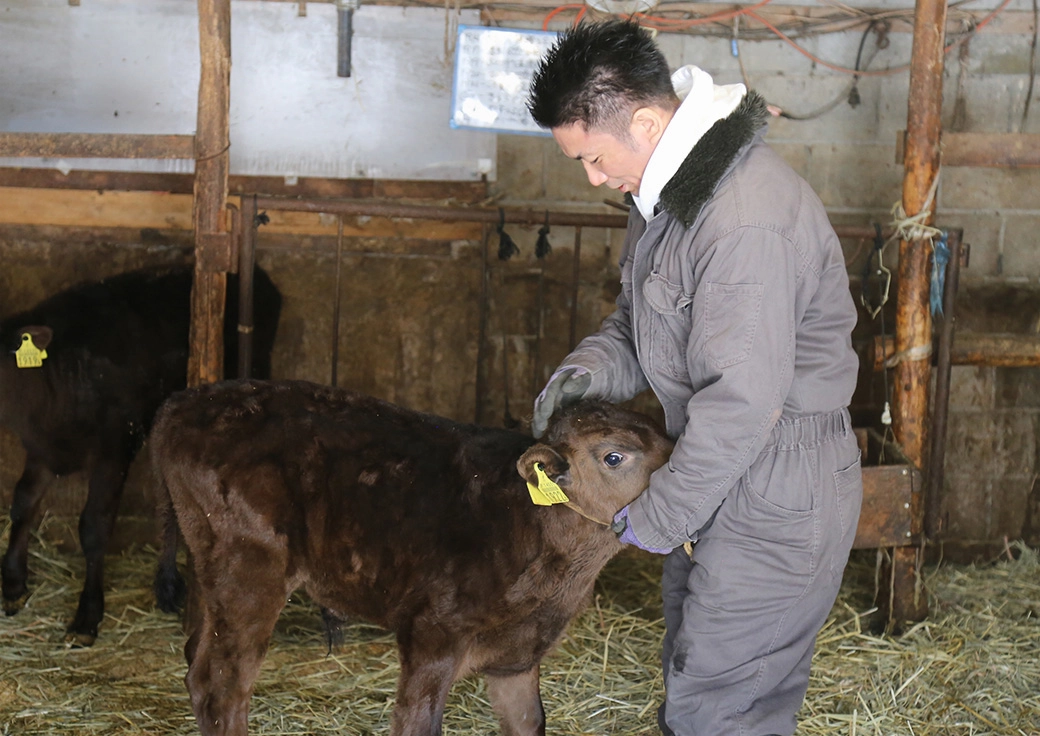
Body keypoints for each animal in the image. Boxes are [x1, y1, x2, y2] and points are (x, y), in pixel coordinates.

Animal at [151, 380, 673, 736]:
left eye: (664, 429)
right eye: (613, 457)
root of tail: (183, 402)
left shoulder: (517, 657)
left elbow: (529, 722)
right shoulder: (432, 634)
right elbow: (417, 723)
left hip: (214, 570)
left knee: (197, 666)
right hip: (249, 570)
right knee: (223, 686)